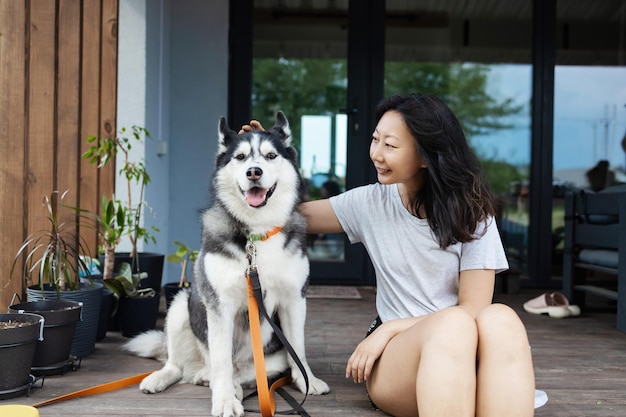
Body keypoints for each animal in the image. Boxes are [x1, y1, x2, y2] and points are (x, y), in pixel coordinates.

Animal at [125, 111, 332, 416]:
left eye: (270, 155)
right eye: (241, 157)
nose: (253, 172)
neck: (257, 233)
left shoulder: (295, 298)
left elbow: (298, 347)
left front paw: (307, 379)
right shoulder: (219, 305)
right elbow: (221, 360)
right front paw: (223, 400)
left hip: (271, 358)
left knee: (244, 373)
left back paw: (226, 383)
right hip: (180, 305)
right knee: (183, 365)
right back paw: (169, 377)